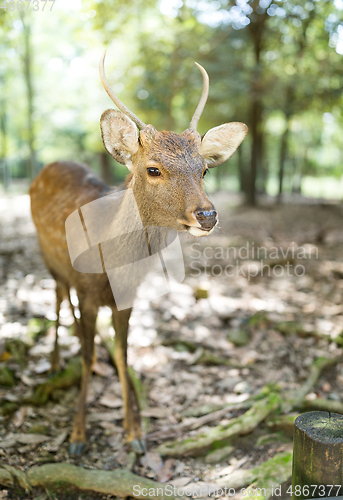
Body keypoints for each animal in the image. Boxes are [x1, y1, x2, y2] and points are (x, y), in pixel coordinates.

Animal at [30, 51, 247, 458]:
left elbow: (124, 354)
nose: (207, 215)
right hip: (48, 259)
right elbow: (88, 354)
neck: (111, 266)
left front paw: (134, 432)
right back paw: (53, 361)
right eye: (153, 169)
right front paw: (77, 436)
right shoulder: (87, 290)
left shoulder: (127, 297)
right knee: (58, 297)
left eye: (205, 169)